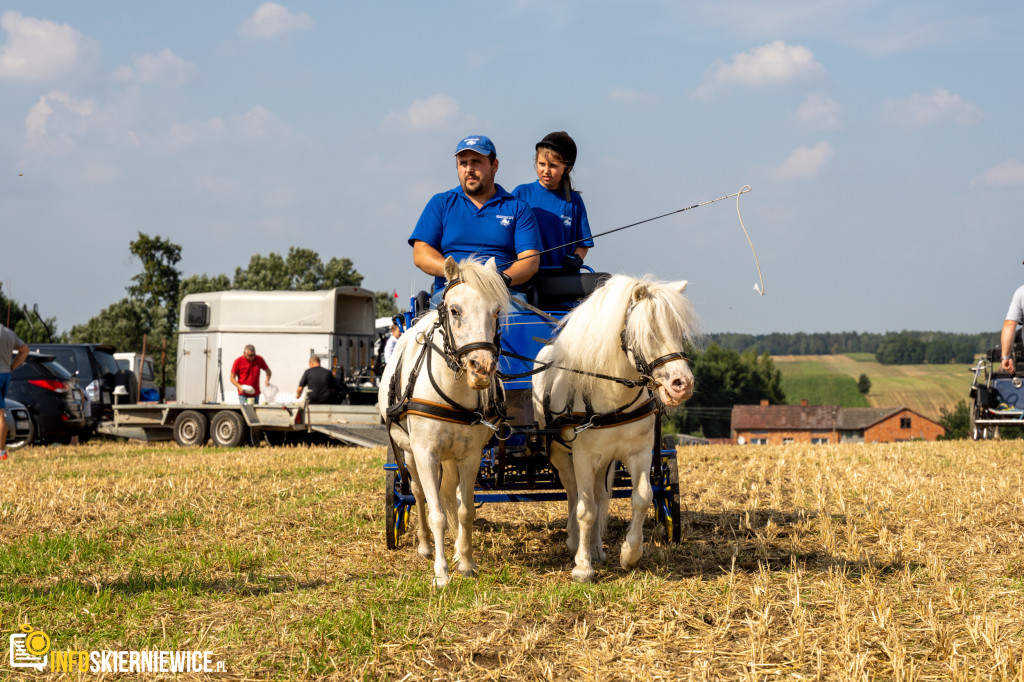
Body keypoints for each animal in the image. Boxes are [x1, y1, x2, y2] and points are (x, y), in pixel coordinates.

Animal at [378, 254, 509, 585]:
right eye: (454, 310)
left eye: (496, 311)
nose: (481, 367)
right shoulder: (426, 453)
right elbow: (436, 511)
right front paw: (441, 574)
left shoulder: (471, 456)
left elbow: (464, 511)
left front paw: (467, 562)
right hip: (409, 453)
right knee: (416, 493)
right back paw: (425, 545)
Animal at [532, 274, 700, 581]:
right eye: (648, 333)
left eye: (679, 330)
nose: (682, 385)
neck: (613, 397)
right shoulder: (583, 456)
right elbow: (585, 509)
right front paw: (582, 567)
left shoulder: (639, 453)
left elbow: (642, 497)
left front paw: (630, 554)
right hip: (561, 454)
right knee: (574, 493)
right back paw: (575, 541)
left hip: (605, 461)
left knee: (599, 496)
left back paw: (597, 548)